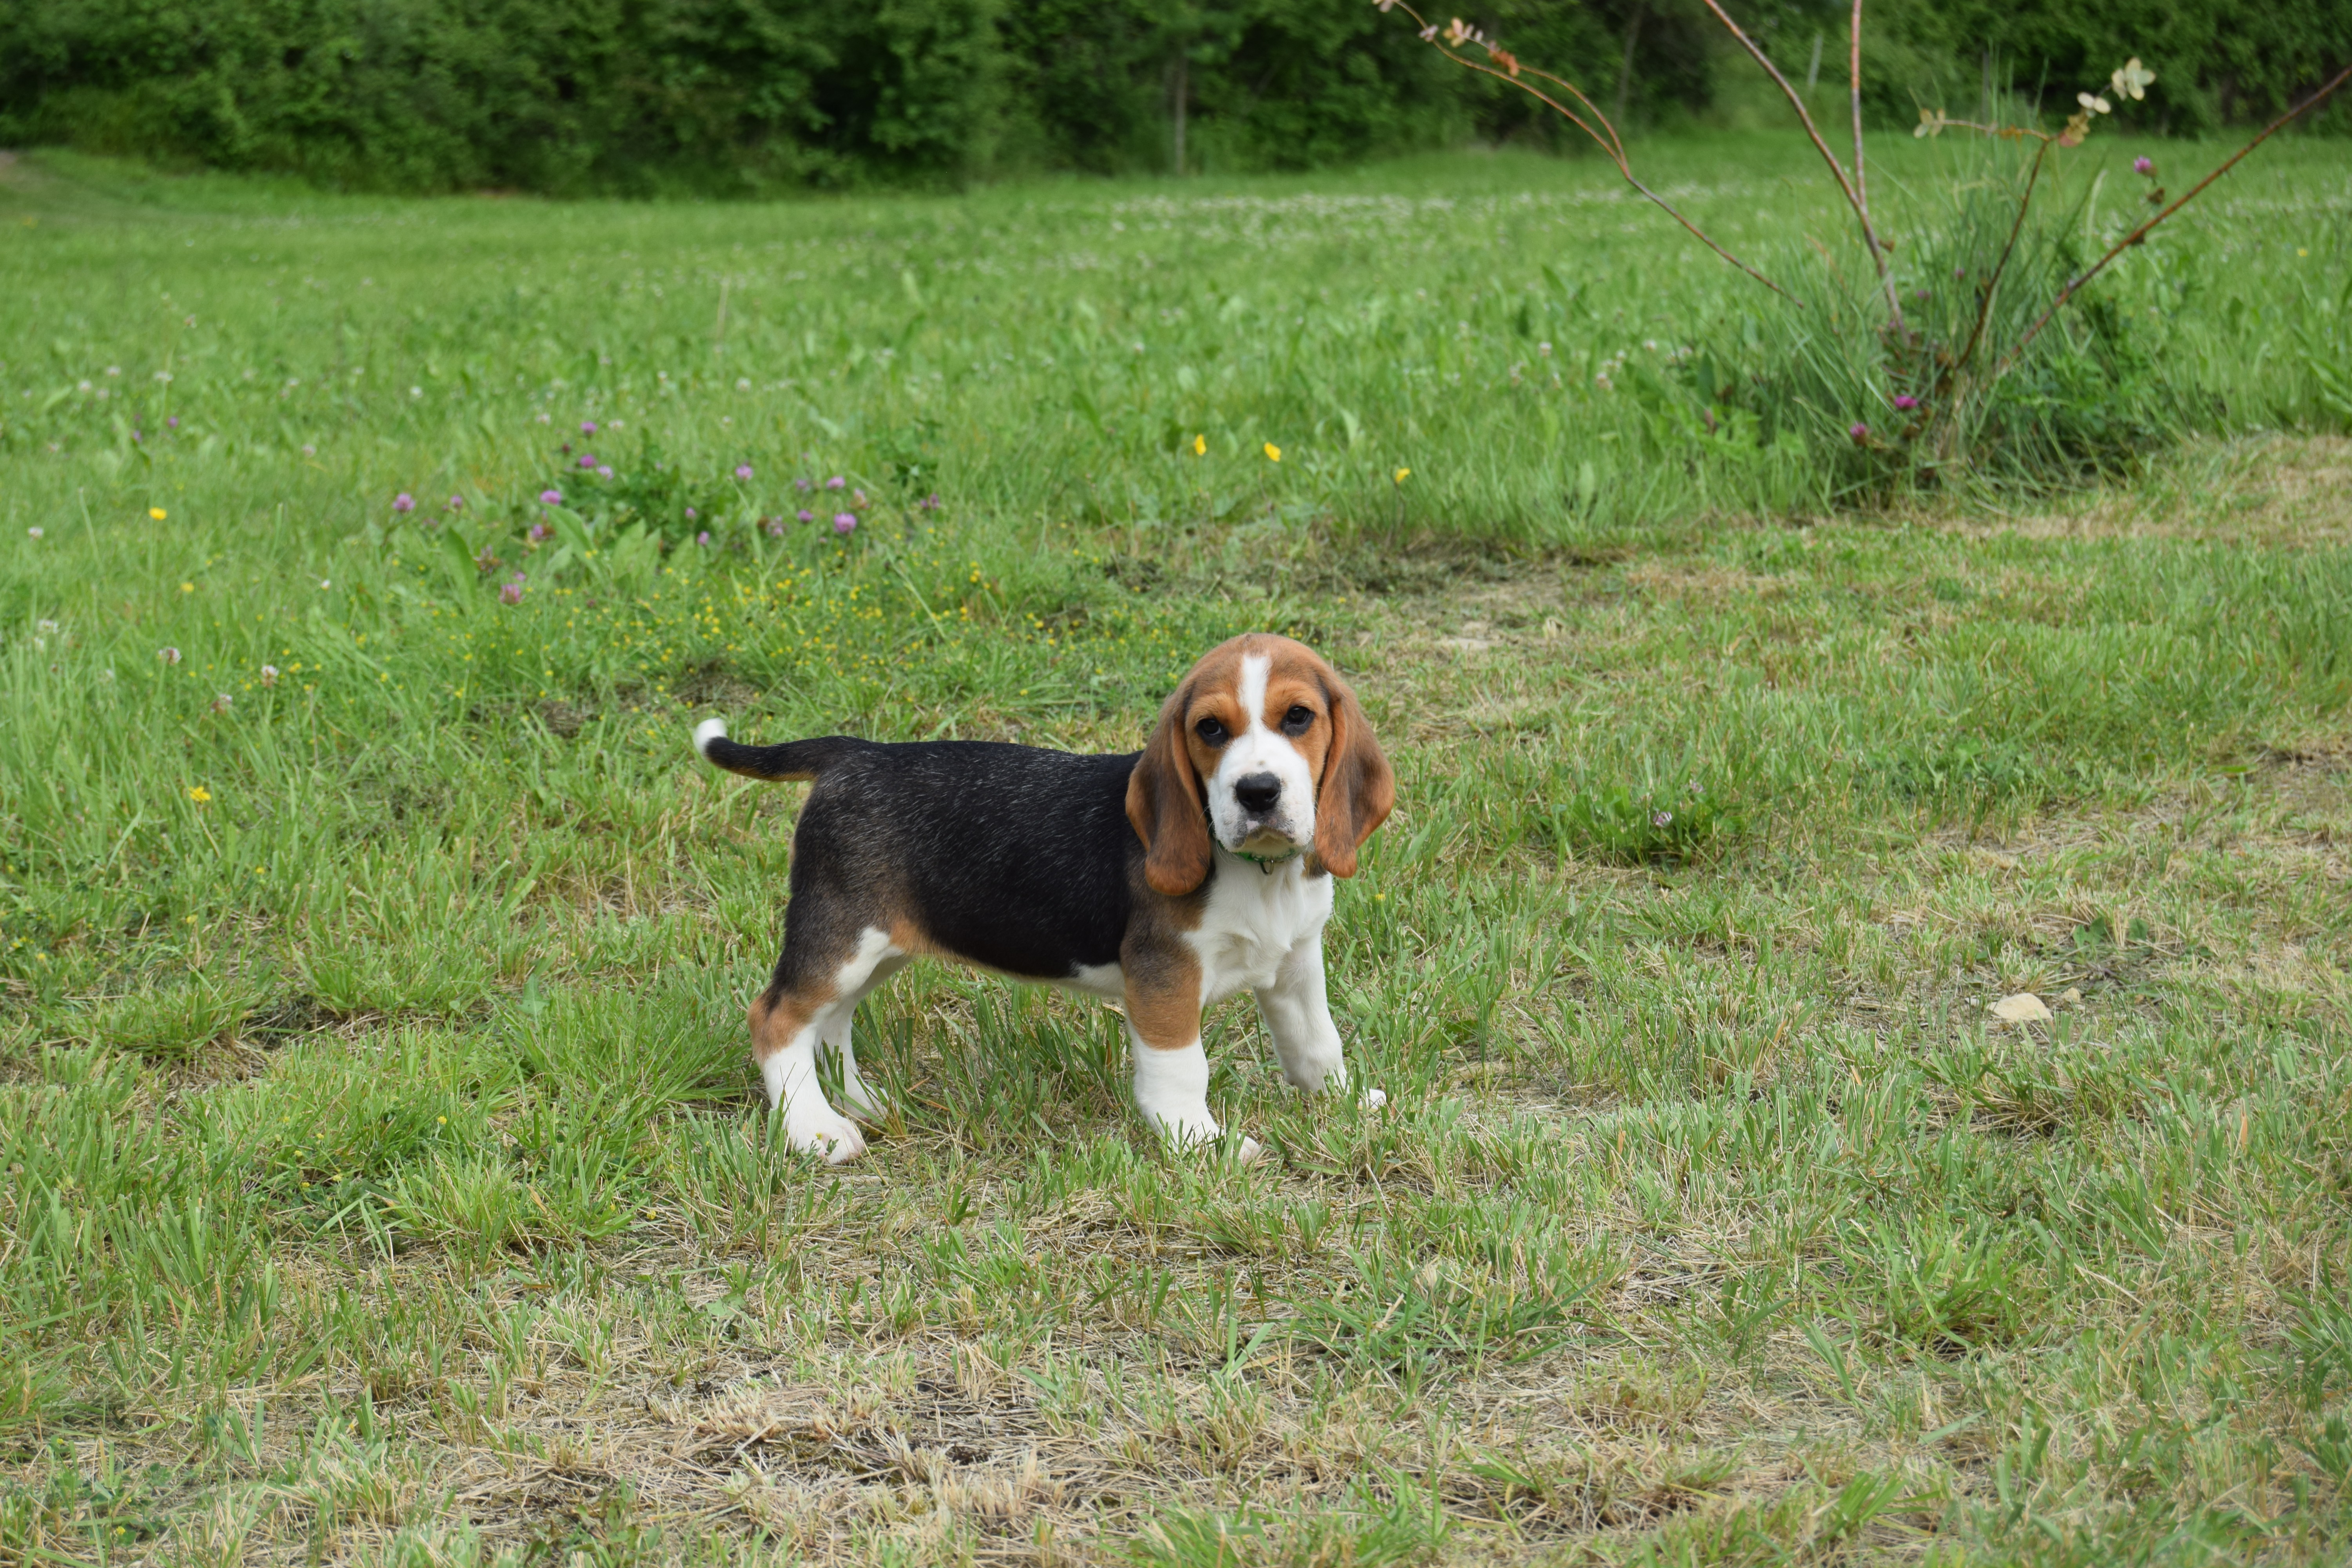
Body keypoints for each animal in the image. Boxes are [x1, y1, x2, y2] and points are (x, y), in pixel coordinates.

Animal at [696, 635, 1392, 1166]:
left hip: (878, 946)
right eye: (1211, 729)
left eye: (1298, 717)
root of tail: (854, 753)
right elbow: (1182, 1069)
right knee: (777, 1018)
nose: (1257, 791)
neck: (1262, 874)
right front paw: (1200, 1143)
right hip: (841, 937)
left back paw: (858, 1105)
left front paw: (1346, 1101)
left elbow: (1317, 1042)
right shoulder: (1164, 975)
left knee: (831, 1021)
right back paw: (814, 1130)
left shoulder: (1295, 962)